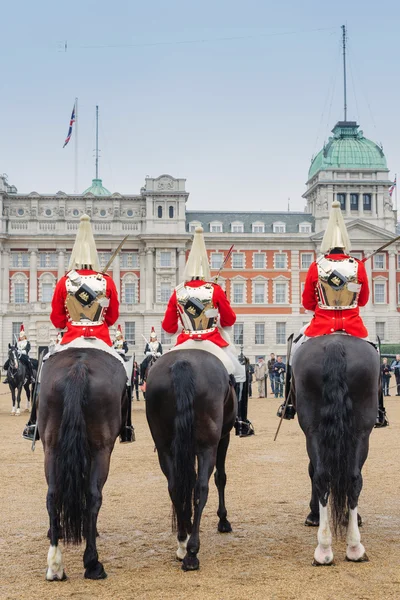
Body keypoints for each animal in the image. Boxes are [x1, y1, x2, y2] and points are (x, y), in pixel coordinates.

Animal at [37, 350, 128, 580]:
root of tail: (79, 367)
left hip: (51, 447)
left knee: (52, 495)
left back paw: (55, 565)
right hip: (101, 449)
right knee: (94, 496)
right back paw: (92, 563)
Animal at [145, 350, 236, 568]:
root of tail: (183, 362)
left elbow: (188, 481)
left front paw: (187, 523)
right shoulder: (223, 439)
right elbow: (220, 478)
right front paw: (223, 520)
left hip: (165, 450)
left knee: (175, 488)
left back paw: (182, 542)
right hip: (207, 449)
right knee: (201, 489)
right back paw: (192, 552)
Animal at [292, 336, 380, 564]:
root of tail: (335, 343)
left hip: (317, 431)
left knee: (327, 476)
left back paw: (327, 547)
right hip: (360, 431)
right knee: (348, 478)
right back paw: (349, 546)